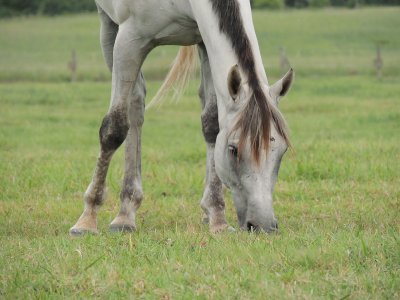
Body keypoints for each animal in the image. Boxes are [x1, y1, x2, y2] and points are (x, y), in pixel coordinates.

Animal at [69, 0, 294, 234]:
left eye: (283, 150)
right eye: (233, 149)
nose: (263, 226)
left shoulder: (205, 41)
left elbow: (212, 125)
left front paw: (218, 218)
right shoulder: (128, 41)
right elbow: (114, 128)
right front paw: (87, 219)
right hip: (109, 27)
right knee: (134, 106)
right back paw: (124, 215)